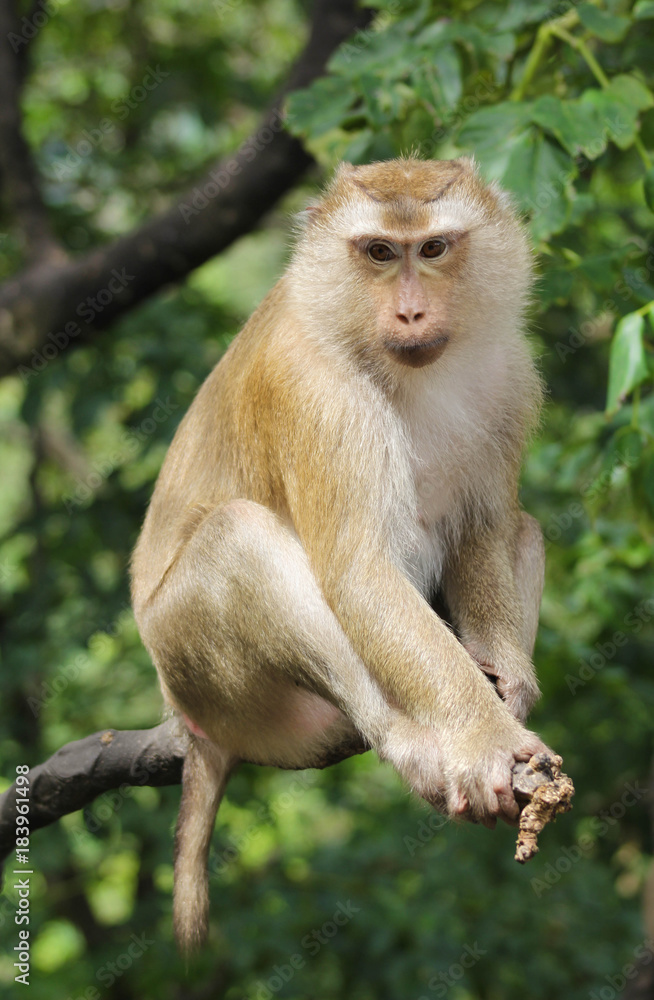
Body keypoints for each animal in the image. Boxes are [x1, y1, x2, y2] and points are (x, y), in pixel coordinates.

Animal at [130, 156, 550, 954]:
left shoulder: (511, 377)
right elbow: (359, 575)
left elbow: (483, 529)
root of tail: (190, 727)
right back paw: (415, 747)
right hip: (209, 682)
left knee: (526, 528)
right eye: (379, 252)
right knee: (238, 537)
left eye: (435, 248)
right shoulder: (315, 392)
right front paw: (483, 737)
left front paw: (506, 687)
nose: (411, 314)